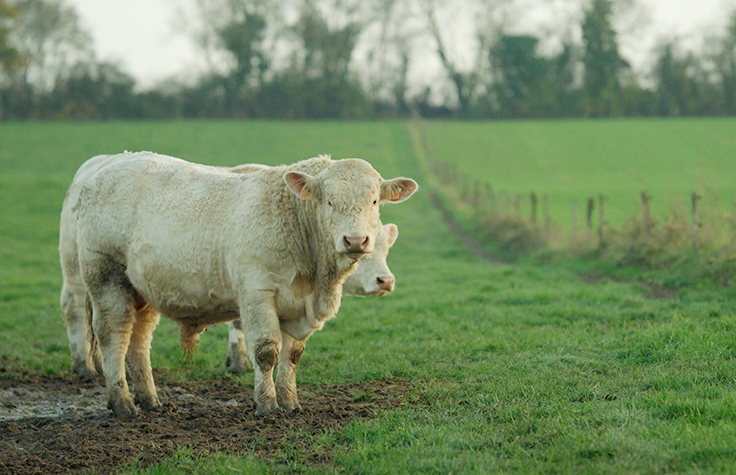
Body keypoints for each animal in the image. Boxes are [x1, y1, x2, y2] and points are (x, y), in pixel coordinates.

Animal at [67, 152, 416, 416]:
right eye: (329, 201)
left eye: (374, 201)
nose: (355, 240)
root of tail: (110, 165)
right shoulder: (256, 293)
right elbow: (267, 351)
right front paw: (267, 404)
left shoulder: (297, 307)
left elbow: (292, 356)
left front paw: (290, 402)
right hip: (105, 277)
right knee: (113, 335)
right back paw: (122, 402)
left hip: (144, 291)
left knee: (139, 341)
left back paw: (150, 399)